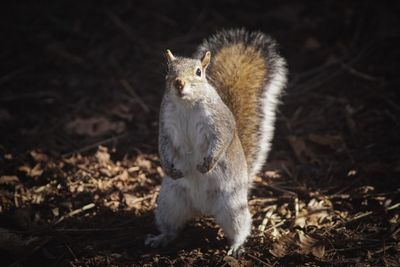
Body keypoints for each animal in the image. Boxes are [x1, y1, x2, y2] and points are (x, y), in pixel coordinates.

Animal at [145, 28, 286, 256]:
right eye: (169, 70)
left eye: (198, 72)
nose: (178, 83)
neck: (186, 104)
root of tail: (202, 209)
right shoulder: (166, 123)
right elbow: (163, 145)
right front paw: (169, 168)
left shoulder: (220, 123)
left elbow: (221, 139)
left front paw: (207, 164)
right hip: (169, 203)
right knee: (172, 228)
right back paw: (161, 238)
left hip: (232, 208)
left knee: (240, 228)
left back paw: (235, 246)